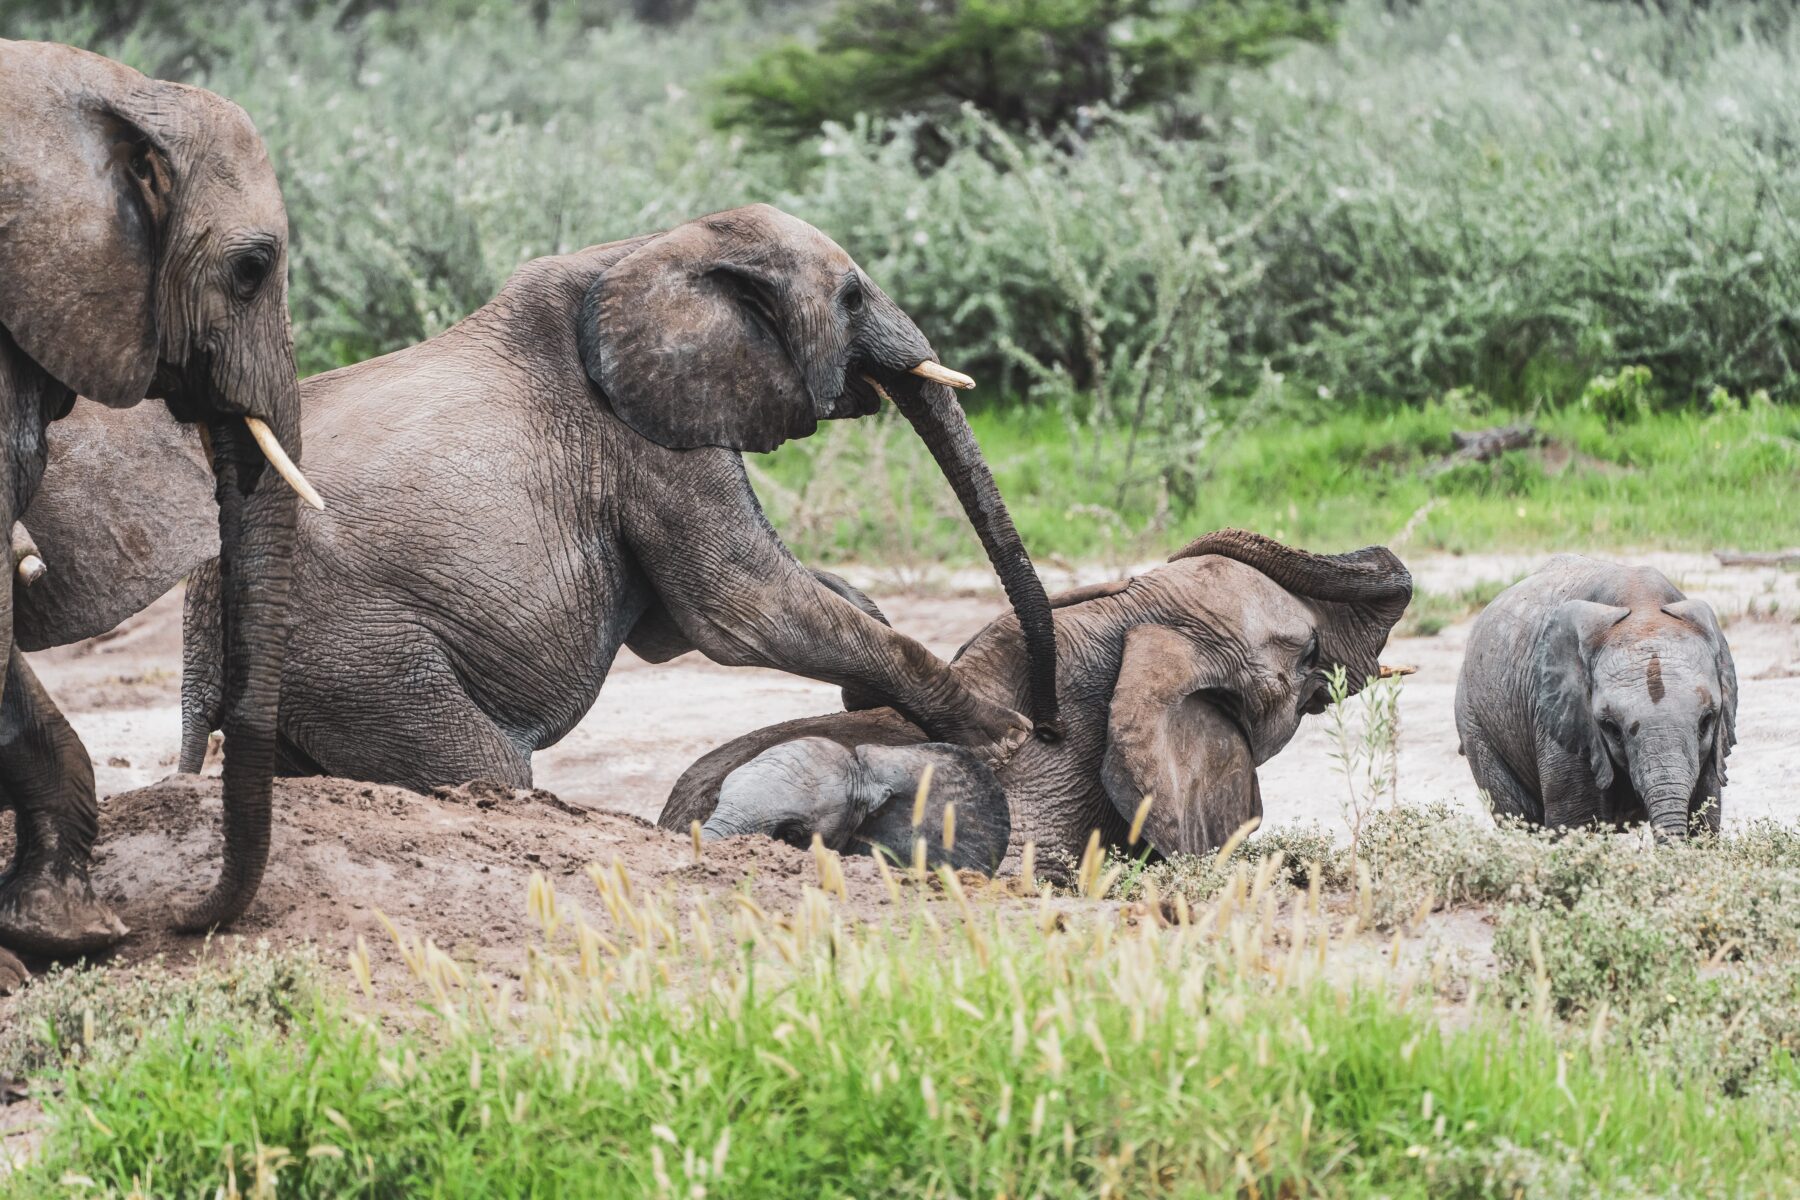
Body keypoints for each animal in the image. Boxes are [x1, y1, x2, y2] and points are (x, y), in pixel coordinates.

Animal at [24, 201, 1051, 791]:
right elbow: (740, 609)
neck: (649, 245)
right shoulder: (637, 435)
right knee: (487, 770)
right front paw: (1000, 734)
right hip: (362, 658)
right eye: (852, 297)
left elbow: (701, 620)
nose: (1044, 716)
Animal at [1454, 557, 1735, 841]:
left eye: (1705, 722)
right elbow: (1575, 824)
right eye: (1612, 729)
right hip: (1474, 722)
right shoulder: (1560, 719)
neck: (1643, 607)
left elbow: (1706, 820)